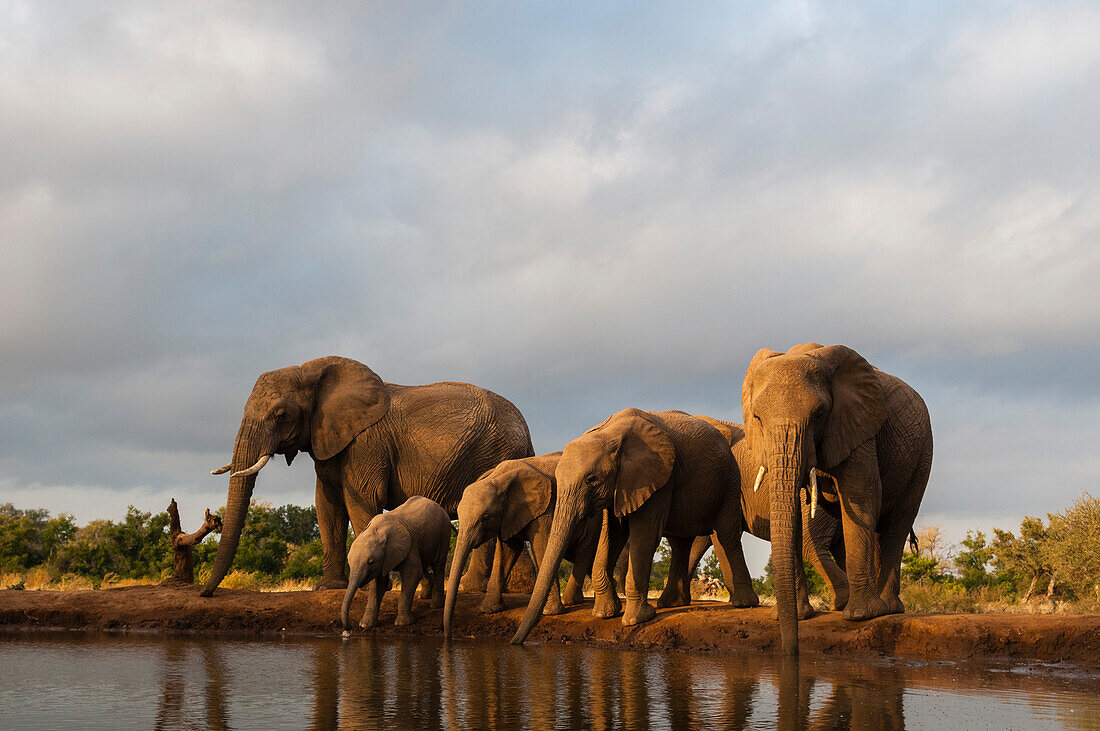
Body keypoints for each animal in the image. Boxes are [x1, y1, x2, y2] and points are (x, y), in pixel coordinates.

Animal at [206, 356, 536, 597]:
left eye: (280, 415)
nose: (207, 593)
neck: (311, 372)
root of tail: (527, 429)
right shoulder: (329, 441)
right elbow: (327, 505)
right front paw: (328, 588)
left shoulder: (365, 444)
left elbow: (360, 501)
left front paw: (376, 586)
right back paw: (519, 589)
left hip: (493, 454)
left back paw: (471, 588)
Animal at [338, 496, 451, 628]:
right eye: (349, 564)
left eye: (370, 562)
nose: (349, 626)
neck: (376, 530)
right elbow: (379, 582)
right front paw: (365, 625)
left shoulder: (410, 545)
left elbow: (412, 574)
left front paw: (403, 623)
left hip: (444, 533)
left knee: (438, 565)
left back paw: (435, 605)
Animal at [442, 448, 602, 637]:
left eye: (485, 518)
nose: (448, 635)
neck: (498, 478)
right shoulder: (508, 516)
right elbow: (507, 551)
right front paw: (489, 610)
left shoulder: (544, 508)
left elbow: (541, 547)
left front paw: (550, 612)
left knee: (585, 550)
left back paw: (573, 601)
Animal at [508, 406, 739, 641]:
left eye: (591, 480)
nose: (516, 641)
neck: (609, 434)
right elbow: (613, 534)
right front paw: (605, 614)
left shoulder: (658, 478)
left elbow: (646, 535)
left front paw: (636, 620)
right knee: (681, 542)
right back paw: (671, 604)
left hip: (729, 478)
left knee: (720, 534)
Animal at [743, 342, 932, 655]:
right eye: (757, 418)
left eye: (820, 415)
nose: (791, 652)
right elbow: (795, 510)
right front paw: (797, 616)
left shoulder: (859, 429)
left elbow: (860, 497)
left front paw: (861, 616)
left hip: (922, 456)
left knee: (896, 524)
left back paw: (886, 609)